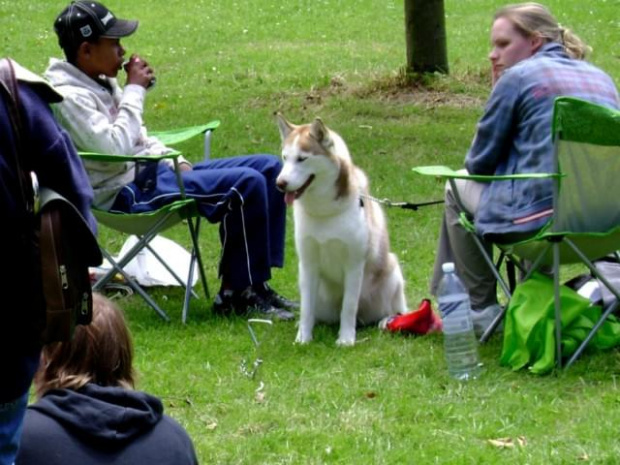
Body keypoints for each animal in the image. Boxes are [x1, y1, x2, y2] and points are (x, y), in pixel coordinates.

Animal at [274, 113, 406, 342]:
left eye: (302, 158)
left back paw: (388, 320)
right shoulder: (308, 264)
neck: (324, 211)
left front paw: (345, 340)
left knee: (394, 310)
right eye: (285, 157)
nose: (280, 183)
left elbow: (349, 307)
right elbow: (307, 309)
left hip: (392, 272)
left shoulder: (354, 265)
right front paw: (303, 339)